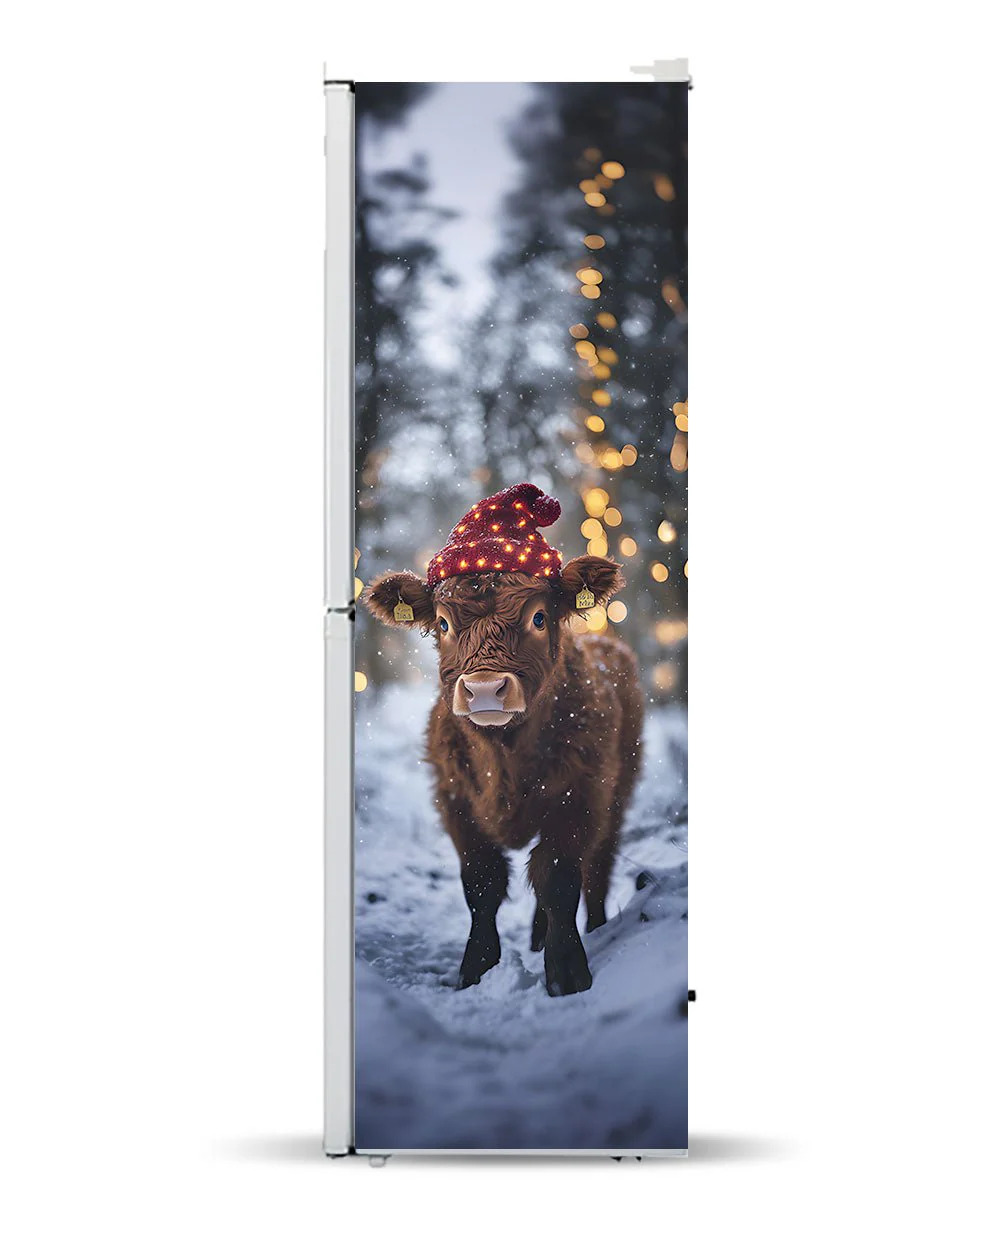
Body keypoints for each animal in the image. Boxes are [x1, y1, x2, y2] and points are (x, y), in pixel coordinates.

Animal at [362, 491, 643, 997]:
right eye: (443, 624)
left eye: (539, 617)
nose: (486, 689)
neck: (506, 759)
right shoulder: (454, 798)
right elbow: (482, 883)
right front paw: (477, 969)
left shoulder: (581, 795)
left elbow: (559, 878)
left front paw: (567, 973)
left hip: (619, 791)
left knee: (598, 868)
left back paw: (595, 928)